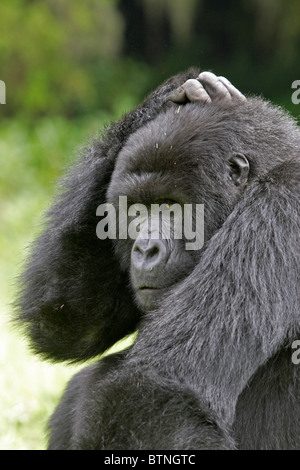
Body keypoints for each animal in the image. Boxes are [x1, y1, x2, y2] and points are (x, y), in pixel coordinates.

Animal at [16, 69, 300, 448]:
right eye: (136, 210)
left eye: (169, 206)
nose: (145, 250)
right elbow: (68, 324)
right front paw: (161, 100)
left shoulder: (284, 202)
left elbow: (156, 388)